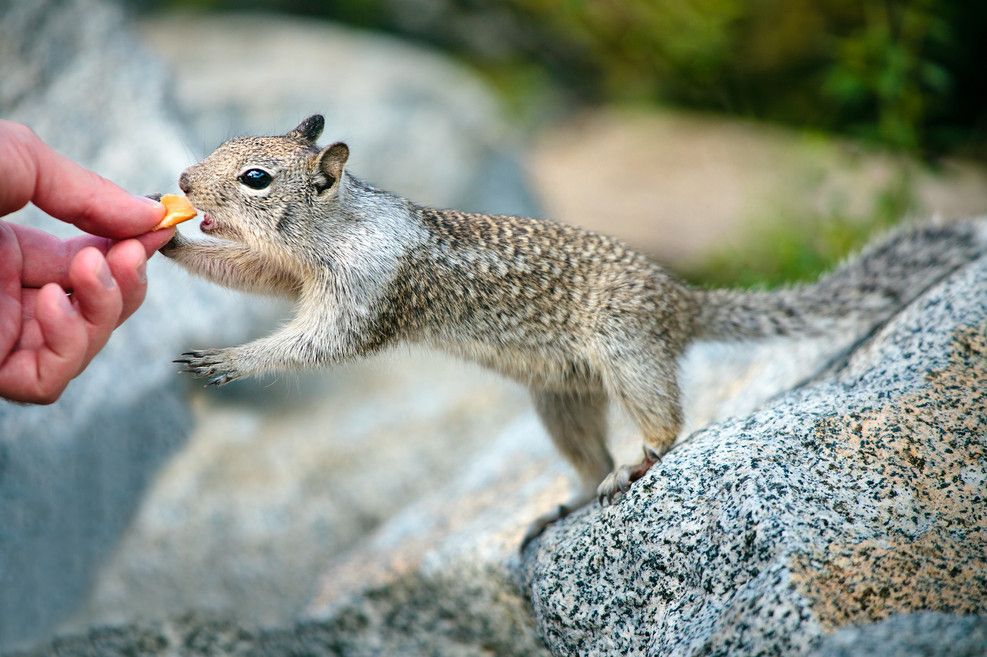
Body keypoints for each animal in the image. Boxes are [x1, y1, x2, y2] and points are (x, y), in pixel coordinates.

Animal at [162, 115, 985, 544]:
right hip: (560, 399)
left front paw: (230, 358)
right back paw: (567, 500)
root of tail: (682, 301)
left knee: (664, 425)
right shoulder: (288, 274)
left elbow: (317, 345)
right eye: (227, 148)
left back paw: (638, 463)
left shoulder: (364, 292)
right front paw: (170, 245)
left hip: (628, 351)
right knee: (588, 455)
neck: (337, 227)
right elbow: (248, 273)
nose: (181, 182)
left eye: (256, 178)